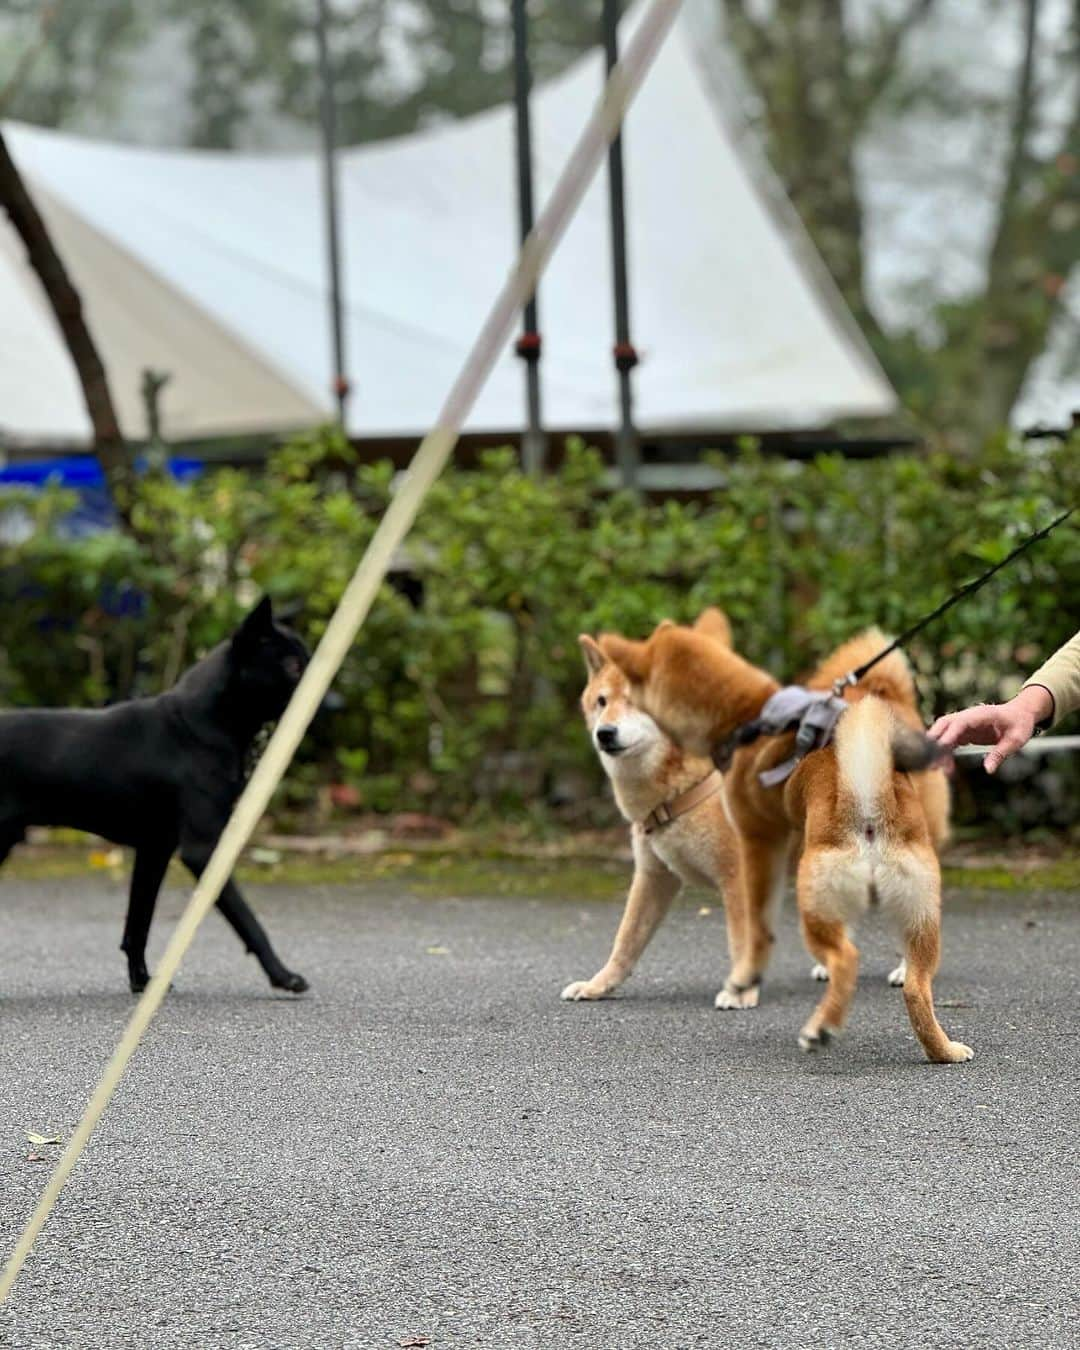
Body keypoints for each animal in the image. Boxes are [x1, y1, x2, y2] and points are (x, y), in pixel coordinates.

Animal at [1, 599, 311, 993]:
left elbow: (139, 925)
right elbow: (248, 921)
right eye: (292, 666)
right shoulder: (203, 850)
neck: (199, 724)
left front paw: (143, 983)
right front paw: (283, 975)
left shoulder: (154, 849)